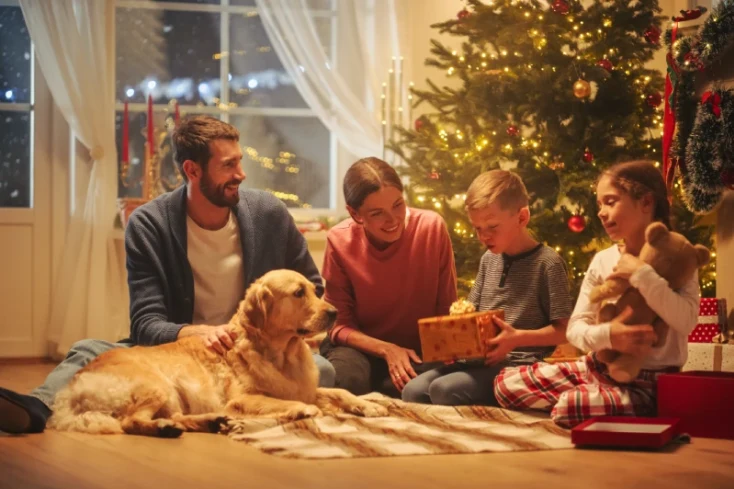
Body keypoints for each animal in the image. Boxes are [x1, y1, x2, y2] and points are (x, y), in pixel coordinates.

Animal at [48, 268, 388, 436]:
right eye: (297, 293)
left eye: (316, 290)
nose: (334, 313)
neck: (282, 354)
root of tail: (70, 391)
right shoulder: (243, 399)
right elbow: (290, 402)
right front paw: (304, 411)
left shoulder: (306, 387)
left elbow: (341, 392)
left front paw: (369, 406)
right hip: (154, 384)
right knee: (130, 422)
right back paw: (167, 428)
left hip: (172, 397)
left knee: (173, 417)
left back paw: (209, 422)